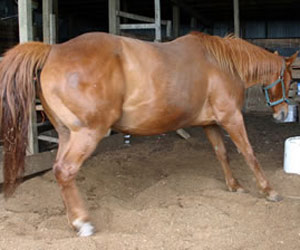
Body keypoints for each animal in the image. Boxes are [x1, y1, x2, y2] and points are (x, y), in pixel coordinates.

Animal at [0, 31, 298, 236]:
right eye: (289, 79)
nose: (283, 114)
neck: (221, 64)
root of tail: (53, 50)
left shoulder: (211, 123)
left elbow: (221, 152)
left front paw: (234, 185)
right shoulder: (231, 117)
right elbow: (248, 152)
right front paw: (268, 190)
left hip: (66, 135)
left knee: (60, 172)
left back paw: (74, 218)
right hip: (87, 133)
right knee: (65, 170)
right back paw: (82, 222)